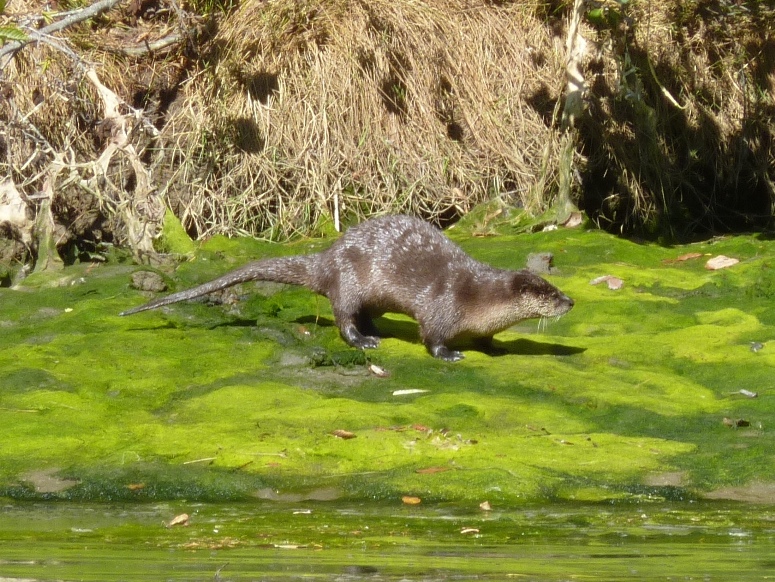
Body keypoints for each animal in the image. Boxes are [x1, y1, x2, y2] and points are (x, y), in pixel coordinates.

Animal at [119, 214, 568, 360]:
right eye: (549, 295)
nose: (571, 301)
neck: (478, 297)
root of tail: (327, 259)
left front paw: (496, 346)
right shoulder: (443, 305)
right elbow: (433, 336)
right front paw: (451, 354)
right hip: (349, 283)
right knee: (343, 318)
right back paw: (365, 341)